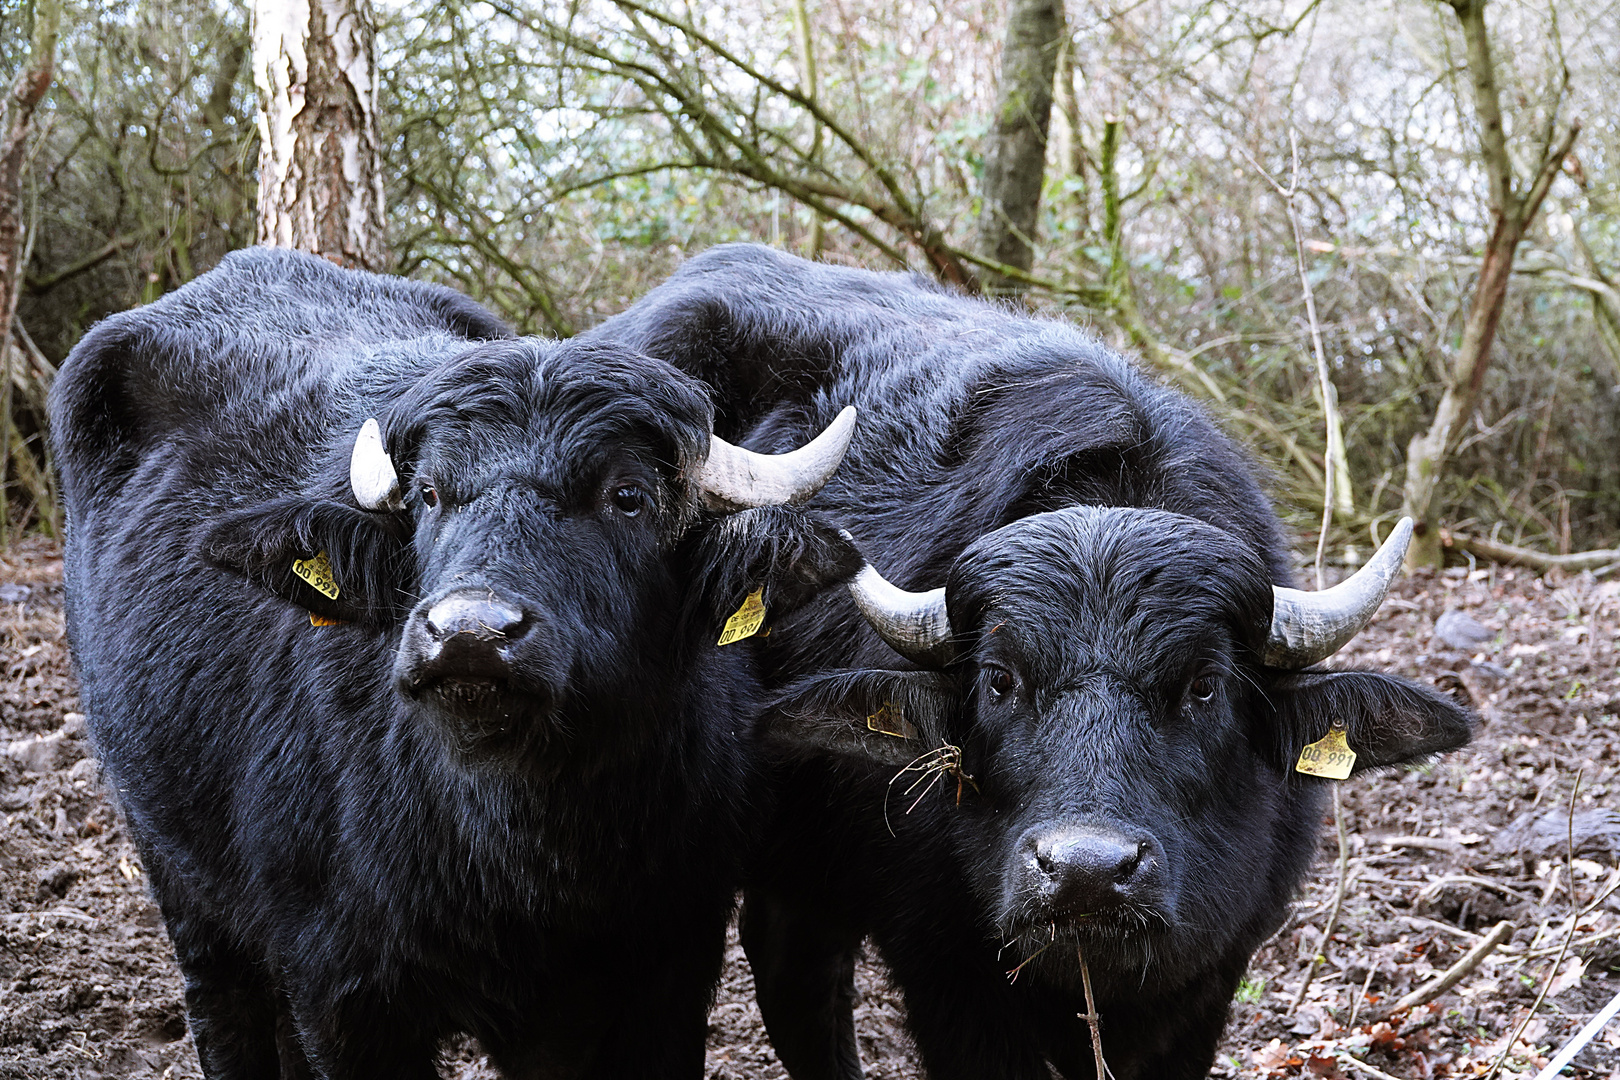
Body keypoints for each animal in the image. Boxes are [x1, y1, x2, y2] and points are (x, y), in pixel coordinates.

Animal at [50, 247, 861, 1080]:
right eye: (431, 494)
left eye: (628, 496)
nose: (470, 634)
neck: (528, 846)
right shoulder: (342, 994)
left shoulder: (665, 970)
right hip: (176, 872)